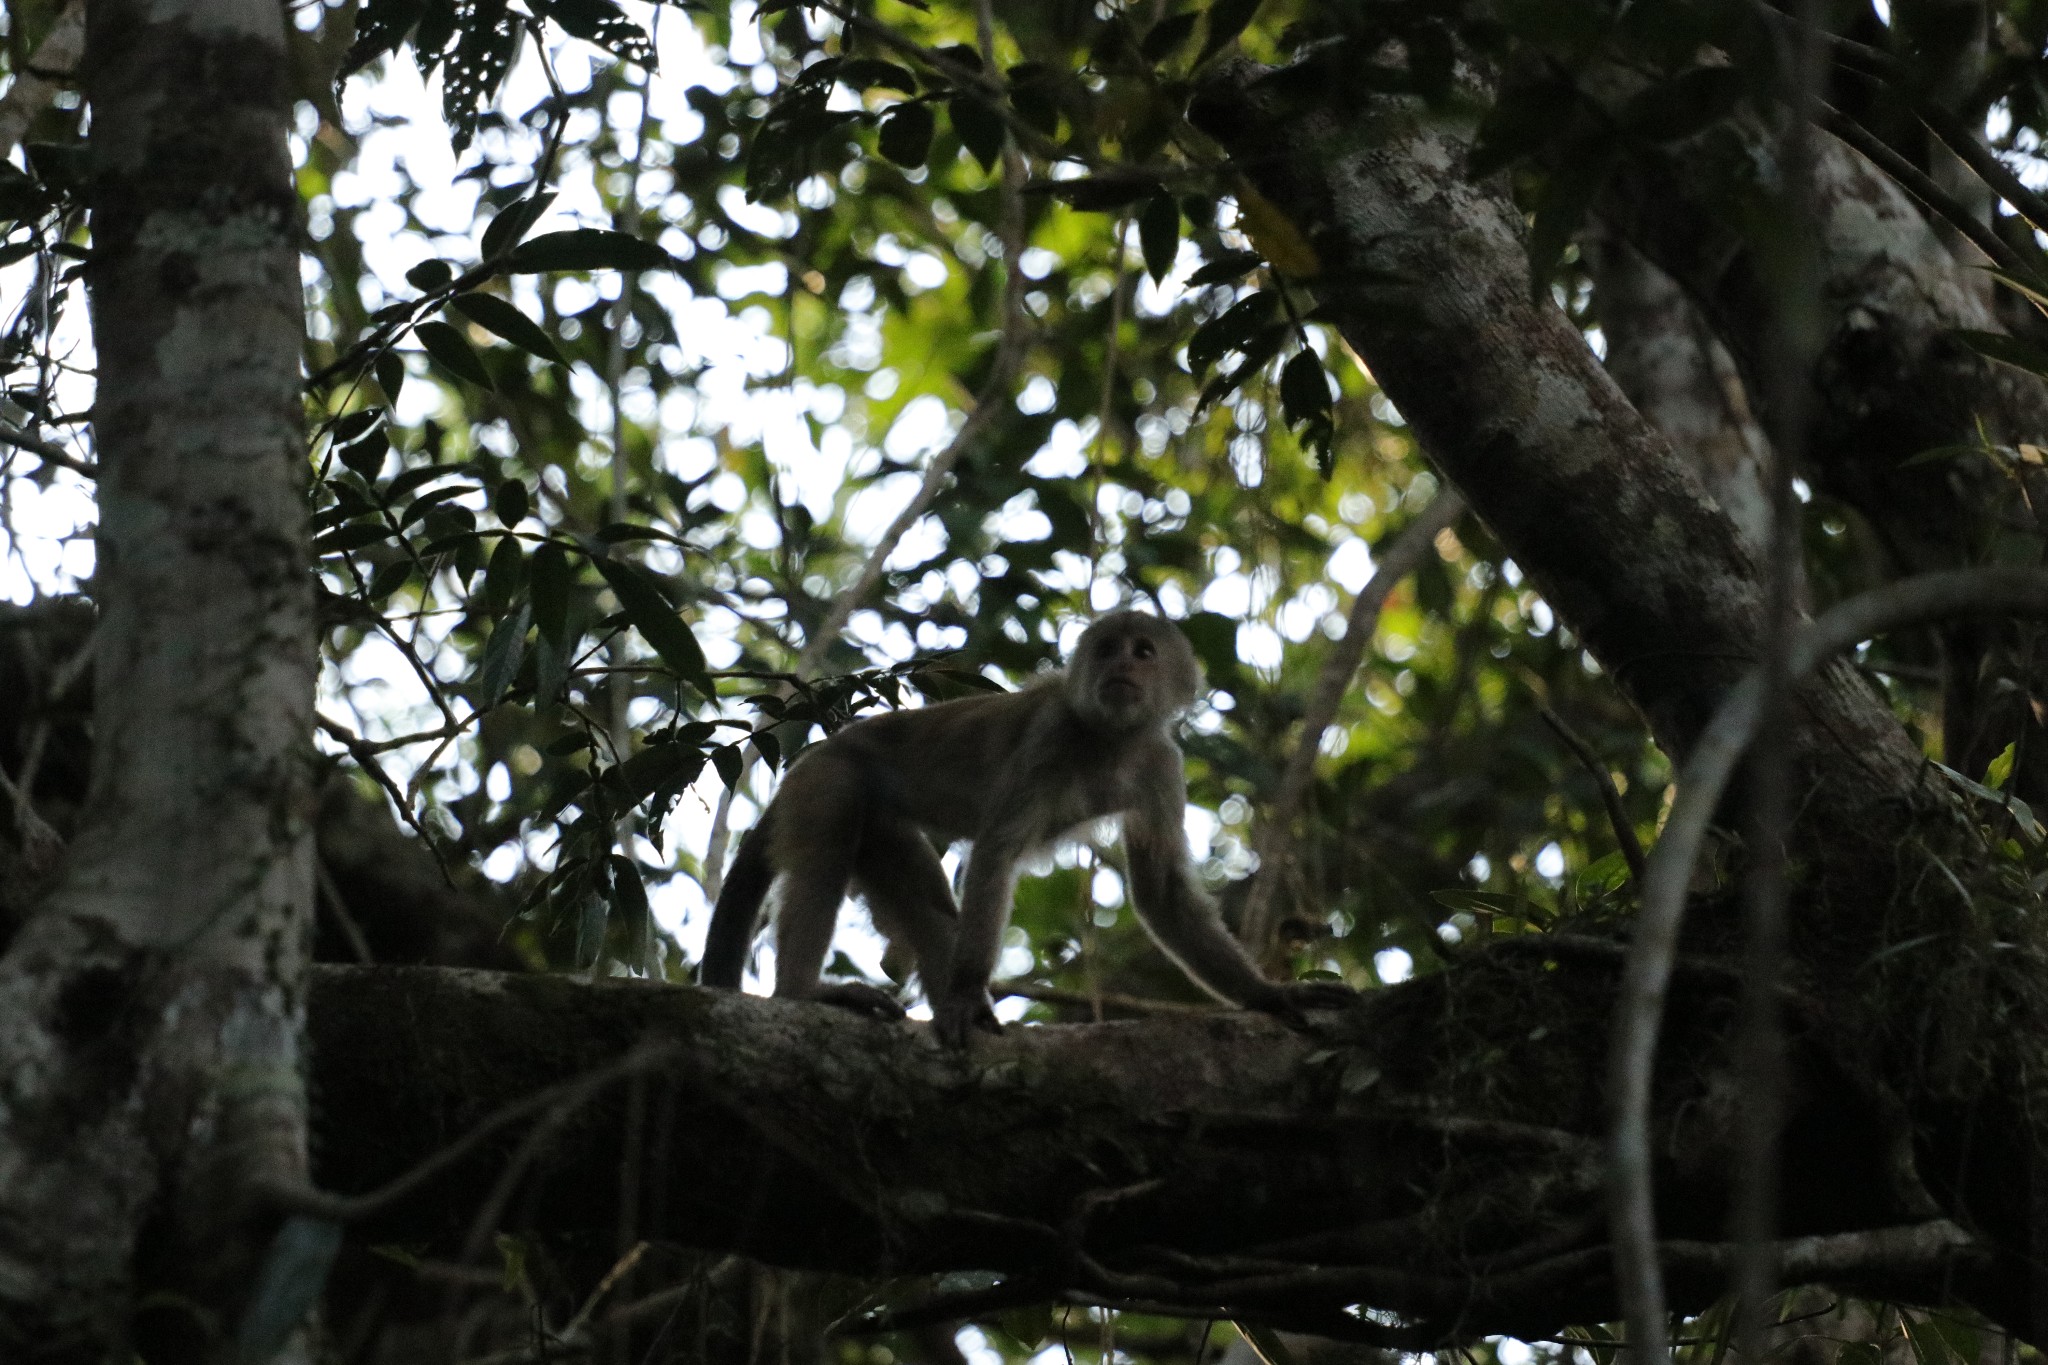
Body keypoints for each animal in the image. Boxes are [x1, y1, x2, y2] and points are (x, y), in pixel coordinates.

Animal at [696, 613, 1351, 1055]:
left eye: (1143, 652)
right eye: (1108, 650)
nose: (1120, 667)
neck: (1106, 740)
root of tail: (818, 751)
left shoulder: (1161, 761)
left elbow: (1162, 890)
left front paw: (1268, 996)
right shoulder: (1050, 735)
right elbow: (996, 853)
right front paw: (963, 996)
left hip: (870, 816)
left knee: (915, 887)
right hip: (827, 778)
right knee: (828, 849)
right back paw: (803, 994)